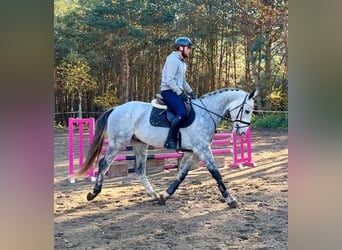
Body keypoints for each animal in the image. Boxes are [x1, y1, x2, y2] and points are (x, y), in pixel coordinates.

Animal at [73, 87, 258, 208]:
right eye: (248, 111)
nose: (242, 132)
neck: (206, 113)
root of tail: (116, 108)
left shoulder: (192, 152)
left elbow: (182, 175)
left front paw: (166, 195)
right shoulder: (203, 150)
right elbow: (216, 174)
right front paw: (231, 199)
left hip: (140, 145)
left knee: (140, 170)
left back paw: (154, 195)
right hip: (118, 142)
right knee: (104, 163)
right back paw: (94, 192)